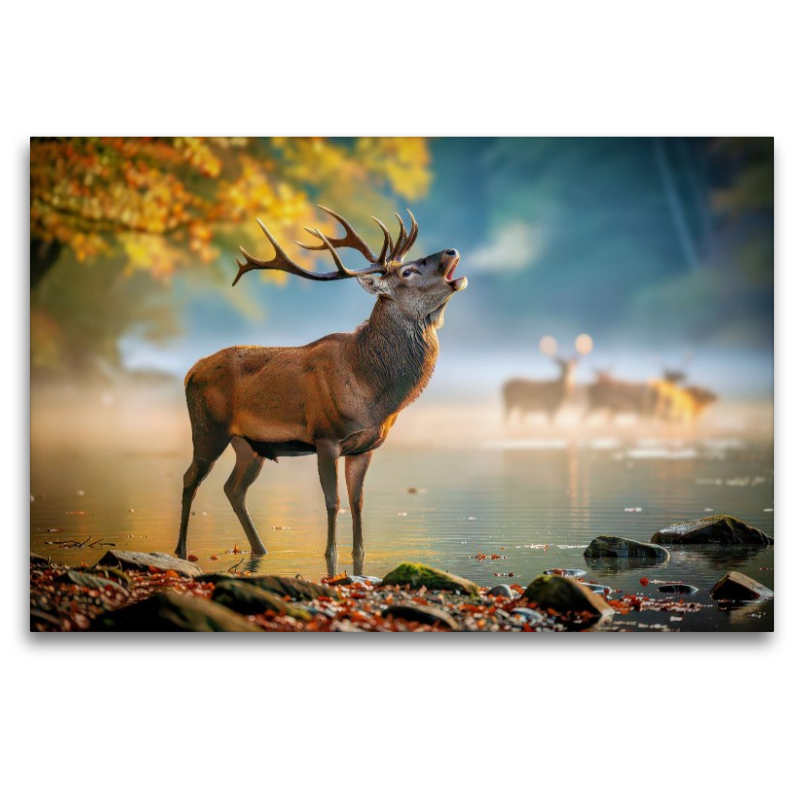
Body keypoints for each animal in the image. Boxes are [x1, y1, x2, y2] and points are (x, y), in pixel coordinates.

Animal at [175, 206, 467, 574]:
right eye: (408, 271)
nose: (451, 251)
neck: (371, 390)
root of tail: (190, 372)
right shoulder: (326, 436)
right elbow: (333, 501)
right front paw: (330, 557)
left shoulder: (364, 447)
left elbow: (357, 502)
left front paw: (360, 557)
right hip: (208, 428)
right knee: (190, 479)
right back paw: (181, 551)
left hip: (249, 445)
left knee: (233, 489)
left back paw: (260, 549)